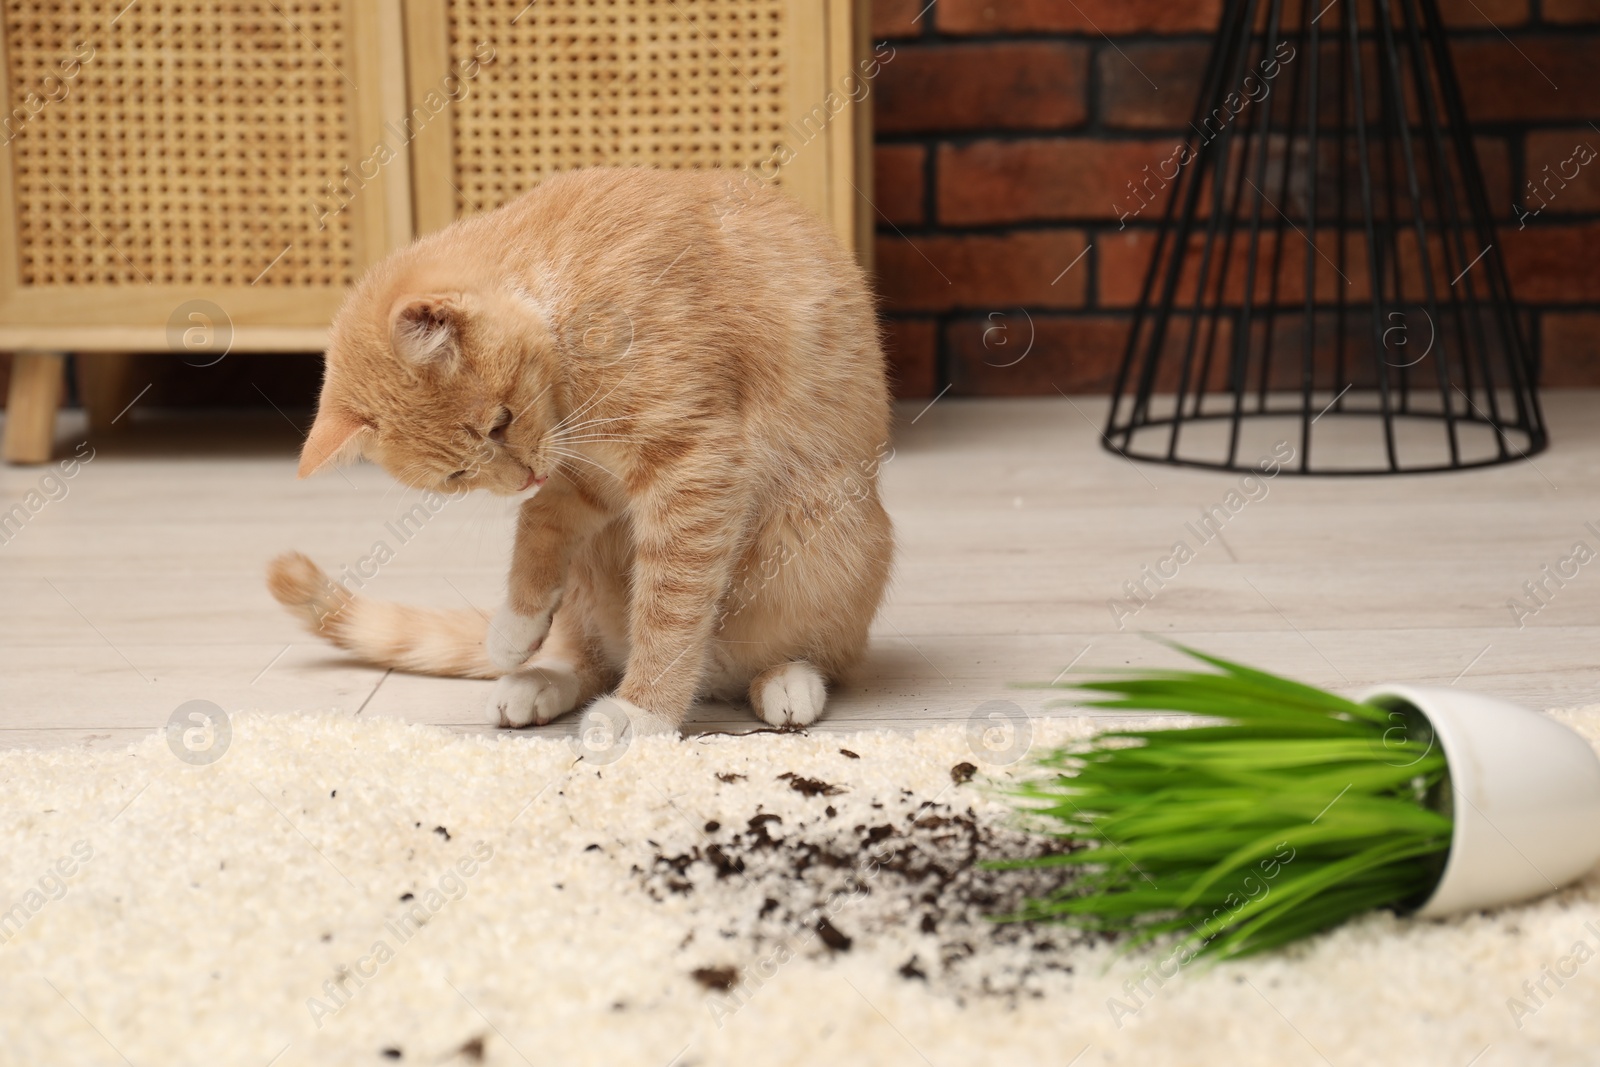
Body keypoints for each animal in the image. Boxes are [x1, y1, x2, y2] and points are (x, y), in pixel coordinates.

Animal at [267, 167, 896, 739]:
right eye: (456, 476)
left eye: (500, 422)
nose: (521, 477)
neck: (561, 295)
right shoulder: (588, 476)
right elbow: (539, 528)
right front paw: (517, 625)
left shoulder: (695, 467)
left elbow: (670, 608)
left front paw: (643, 710)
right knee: (588, 658)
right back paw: (535, 681)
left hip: (820, 529)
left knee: (810, 655)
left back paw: (787, 679)